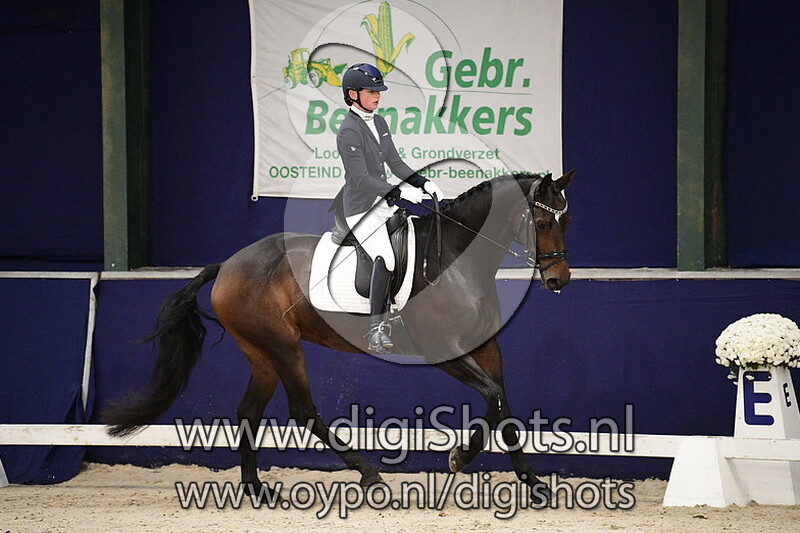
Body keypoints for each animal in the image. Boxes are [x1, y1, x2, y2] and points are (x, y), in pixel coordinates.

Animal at [104, 170, 575, 501]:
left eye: (566, 220)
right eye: (539, 221)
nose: (559, 280)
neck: (457, 259)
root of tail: (228, 265)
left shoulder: (487, 347)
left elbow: (502, 406)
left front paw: (532, 483)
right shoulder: (445, 351)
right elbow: (493, 397)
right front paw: (460, 457)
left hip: (260, 352)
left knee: (249, 412)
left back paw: (256, 488)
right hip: (283, 346)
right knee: (302, 410)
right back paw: (368, 473)